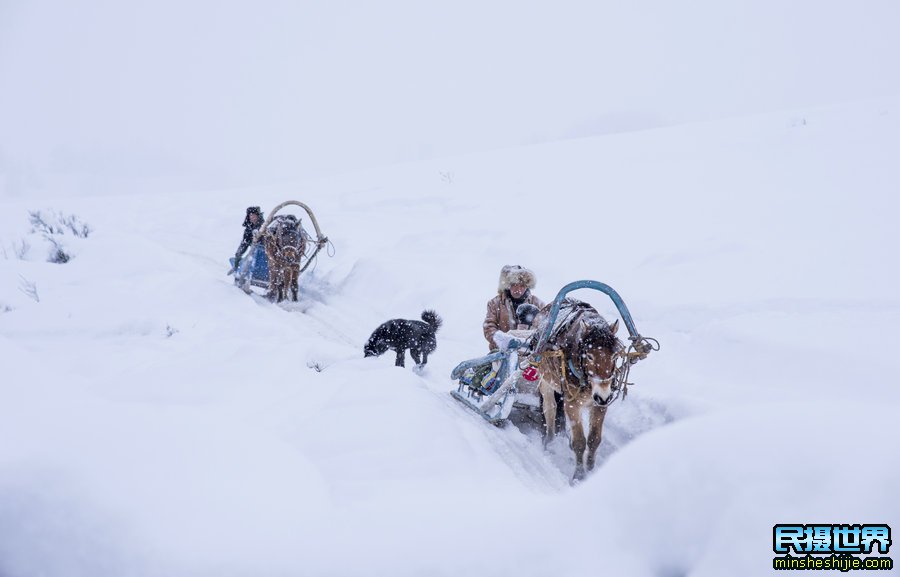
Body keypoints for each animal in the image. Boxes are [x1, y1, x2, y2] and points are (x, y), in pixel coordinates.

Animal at [532, 302, 624, 482]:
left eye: (614, 355)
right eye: (589, 356)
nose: (602, 396)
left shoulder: (600, 405)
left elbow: (594, 439)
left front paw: (591, 469)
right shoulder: (572, 403)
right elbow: (580, 441)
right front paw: (579, 476)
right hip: (545, 380)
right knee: (550, 408)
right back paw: (550, 442)